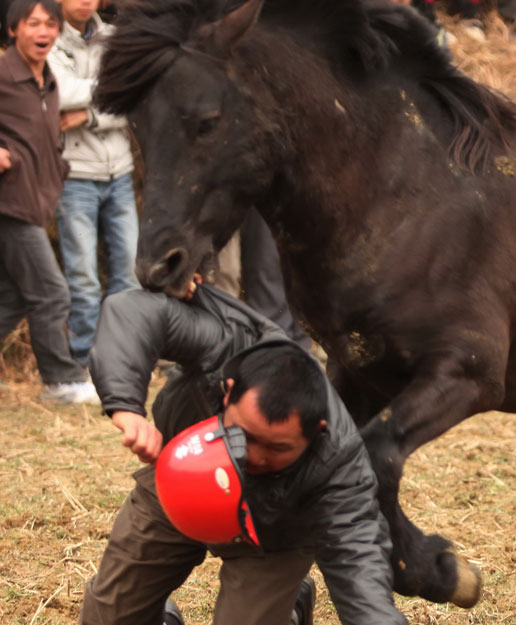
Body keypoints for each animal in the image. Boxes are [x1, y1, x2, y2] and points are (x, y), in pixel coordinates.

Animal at [92, 0, 516, 608]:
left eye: (206, 121)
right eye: (138, 130)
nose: (158, 267)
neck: (411, 199)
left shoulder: (467, 371)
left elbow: (380, 451)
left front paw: (442, 571)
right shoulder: (356, 373)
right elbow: (361, 456)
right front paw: (432, 568)